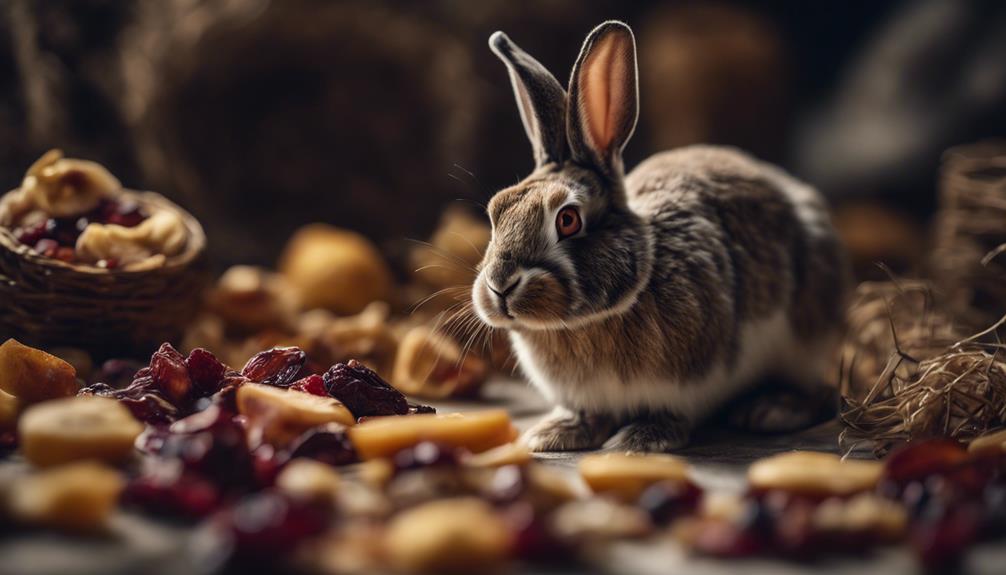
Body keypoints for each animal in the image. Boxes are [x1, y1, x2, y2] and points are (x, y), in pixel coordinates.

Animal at [472, 21, 851, 453]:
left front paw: (636, 442)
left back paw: (770, 411)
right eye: (496, 211)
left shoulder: (691, 382)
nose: (500, 286)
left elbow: (668, 414)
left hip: (806, 340)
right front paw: (552, 434)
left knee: (823, 393)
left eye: (568, 220)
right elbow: (585, 414)